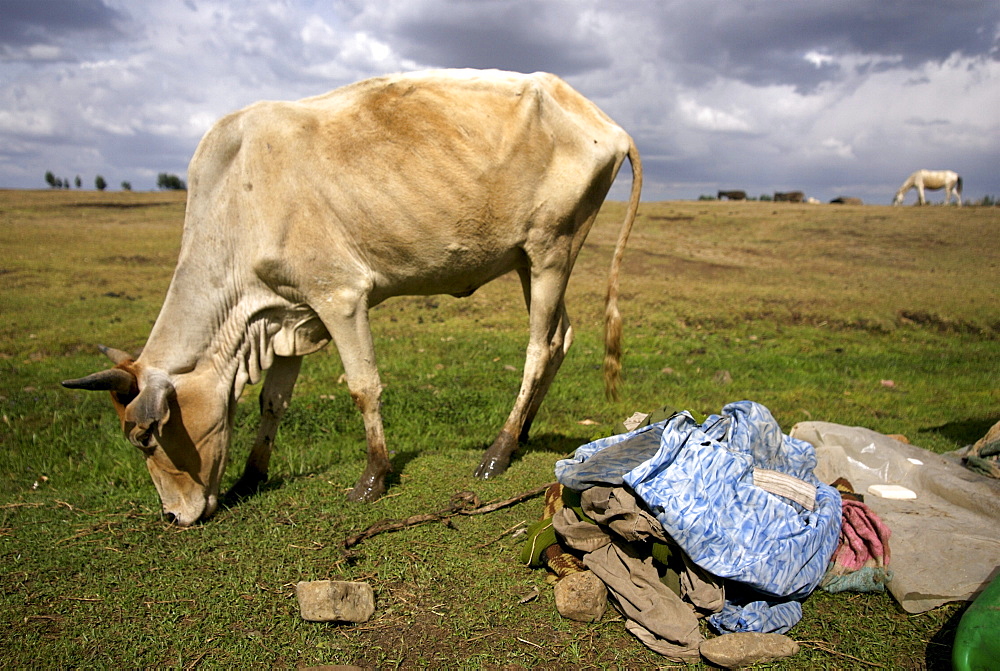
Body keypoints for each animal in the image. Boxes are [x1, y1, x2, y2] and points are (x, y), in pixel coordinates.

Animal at [60, 69, 640, 532]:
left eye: (145, 438)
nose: (172, 516)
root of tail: (604, 121)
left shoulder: (339, 296)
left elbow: (364, 387)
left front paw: (373, 477)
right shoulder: (290, 313)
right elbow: (273, 401)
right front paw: (251, 476)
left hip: (551, 250)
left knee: (538, 348)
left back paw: (497, 451)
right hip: (527, 261)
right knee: (559, 337)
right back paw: (520, 435)